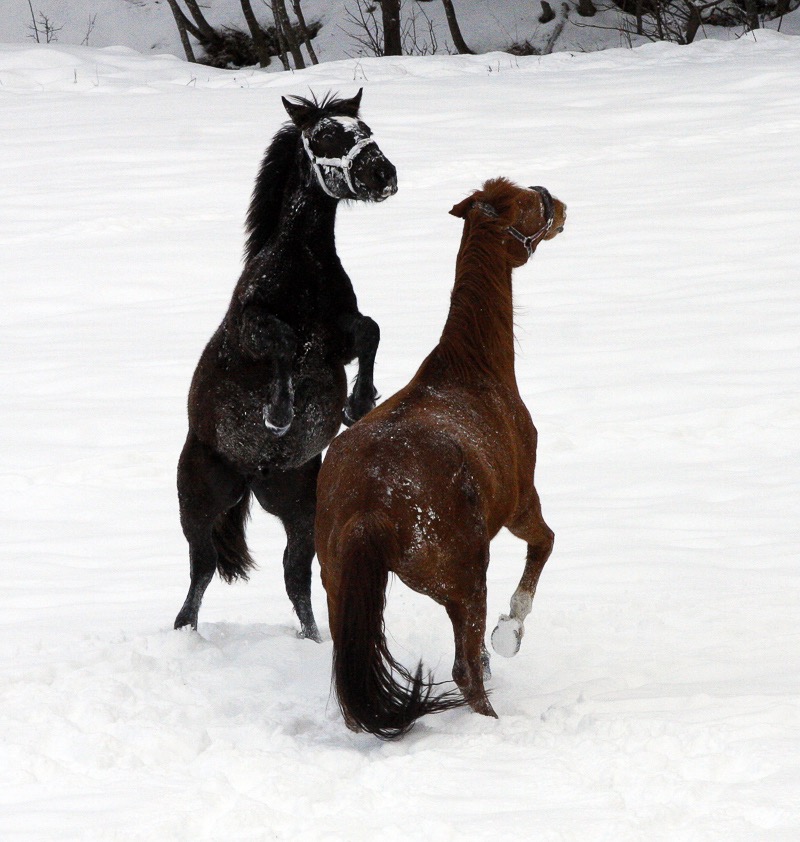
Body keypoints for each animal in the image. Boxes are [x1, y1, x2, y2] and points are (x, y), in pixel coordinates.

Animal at [177, 90, 398, 636]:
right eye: (325, 135)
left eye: (364, 129)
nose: (383, 174)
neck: (304, 268)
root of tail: (252, 475)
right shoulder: (250, 332)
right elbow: (280, 342)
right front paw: (278, 413)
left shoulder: (339, 339)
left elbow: (370, 331)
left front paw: (359, 404)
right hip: (199, 501)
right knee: (201, 570)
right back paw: (185, 634)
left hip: (298, 508)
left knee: (295, 576)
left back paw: (314, 639)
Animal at [316, 177, 564, 736]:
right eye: (526, 203)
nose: (555, 201)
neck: (472, 372)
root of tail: (370, 505)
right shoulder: (522, 504)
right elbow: (544, 547)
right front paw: (510, 633)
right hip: (466, 582)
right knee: (463, 669)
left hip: (339, 589)